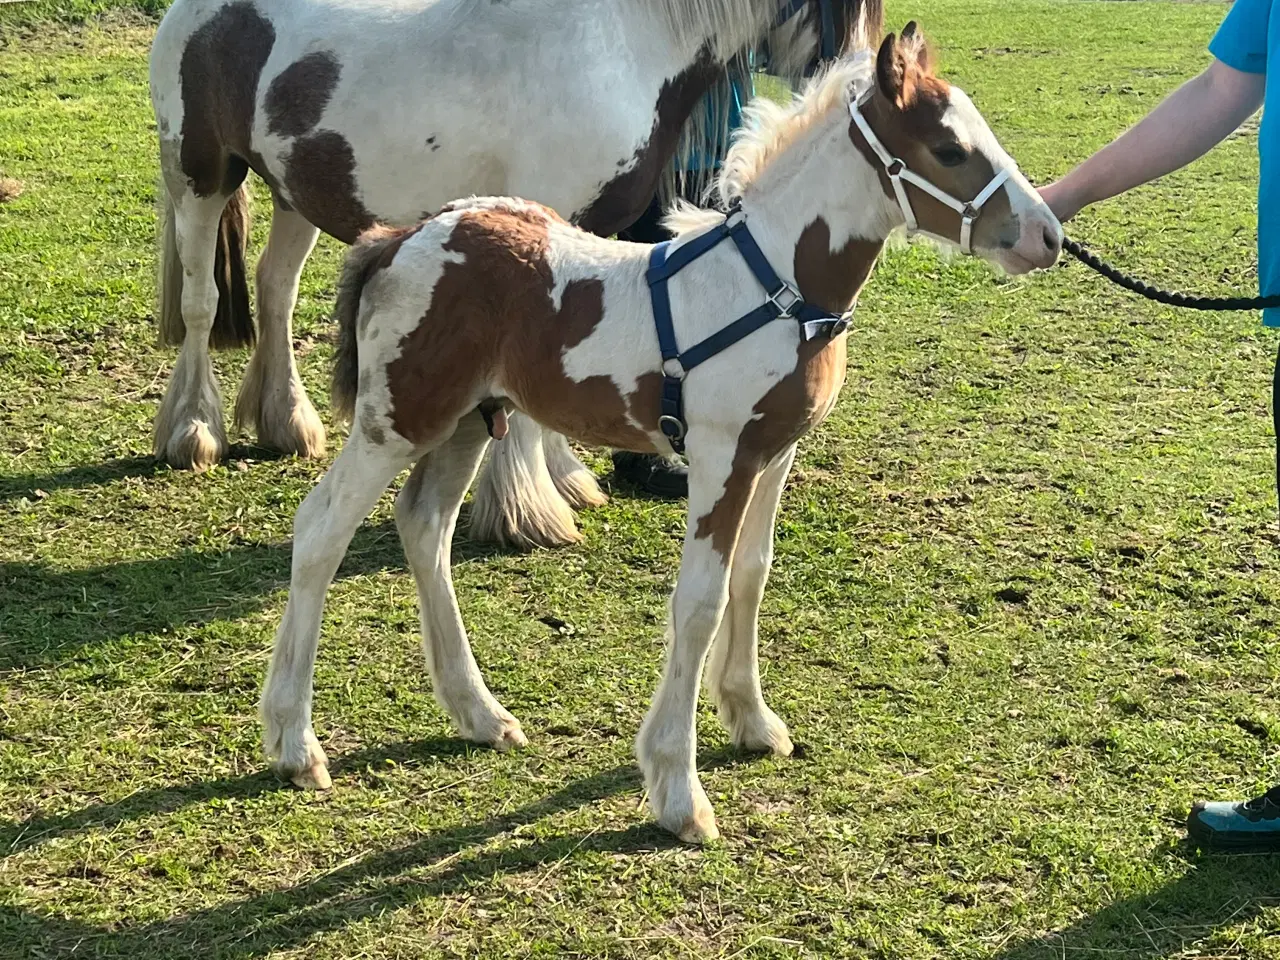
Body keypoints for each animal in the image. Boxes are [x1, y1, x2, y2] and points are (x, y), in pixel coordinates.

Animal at [142, 0, 880, 547]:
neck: (624, 44)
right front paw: (529, 512)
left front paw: (565, 479)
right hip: (200, 177)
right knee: (204, 302)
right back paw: (193, 431)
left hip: (295, 195)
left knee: (276, 291)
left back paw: (287, 422)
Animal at [259, 28, 1059, 839]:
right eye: (950, 149)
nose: (1046, 237)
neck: (774, 287)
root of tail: (399, 239)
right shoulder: (720, 457)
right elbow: (700, 602)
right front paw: (679, 790)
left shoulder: (774, 455)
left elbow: (751, 575)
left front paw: (752, 721)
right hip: (397, 421)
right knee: (320, 529)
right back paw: (295, 744)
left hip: (468, 421)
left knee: (424, 527)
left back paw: (479, 714)